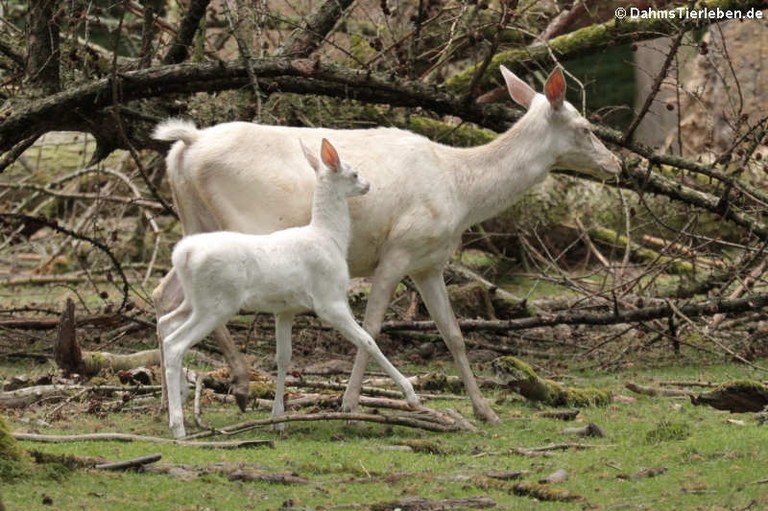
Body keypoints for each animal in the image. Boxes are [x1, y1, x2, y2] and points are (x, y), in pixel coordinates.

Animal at [158, 140, 420, 440]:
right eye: (353, 173)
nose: (367, 185)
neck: (330, 238)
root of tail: (182, 254)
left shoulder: (285, 309)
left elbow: (283, 357)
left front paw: (278, 419)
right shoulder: (329, 300)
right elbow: (367, 339)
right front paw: (412, 396)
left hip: (195, 300)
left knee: (167, 323)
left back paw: (180, 398)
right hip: (217, 302)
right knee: (175, 342)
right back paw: (178, 427)